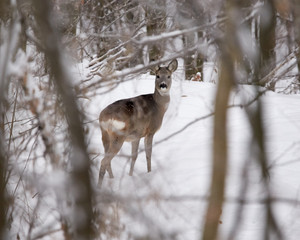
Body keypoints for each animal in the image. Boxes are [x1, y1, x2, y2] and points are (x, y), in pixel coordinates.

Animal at [98, 58, 178, 188]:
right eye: (157, 76)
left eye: (169, 76)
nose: (163, 85)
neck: (158, 106)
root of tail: (105, 118)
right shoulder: (150, 131)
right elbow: (148, 153)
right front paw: (149, 172)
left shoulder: (136, 136)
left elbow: (134, 156)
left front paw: (130, 175)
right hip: (118, 135)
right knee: (104, 160)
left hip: (104, 134)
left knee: (107, 159)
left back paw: (111, 179)